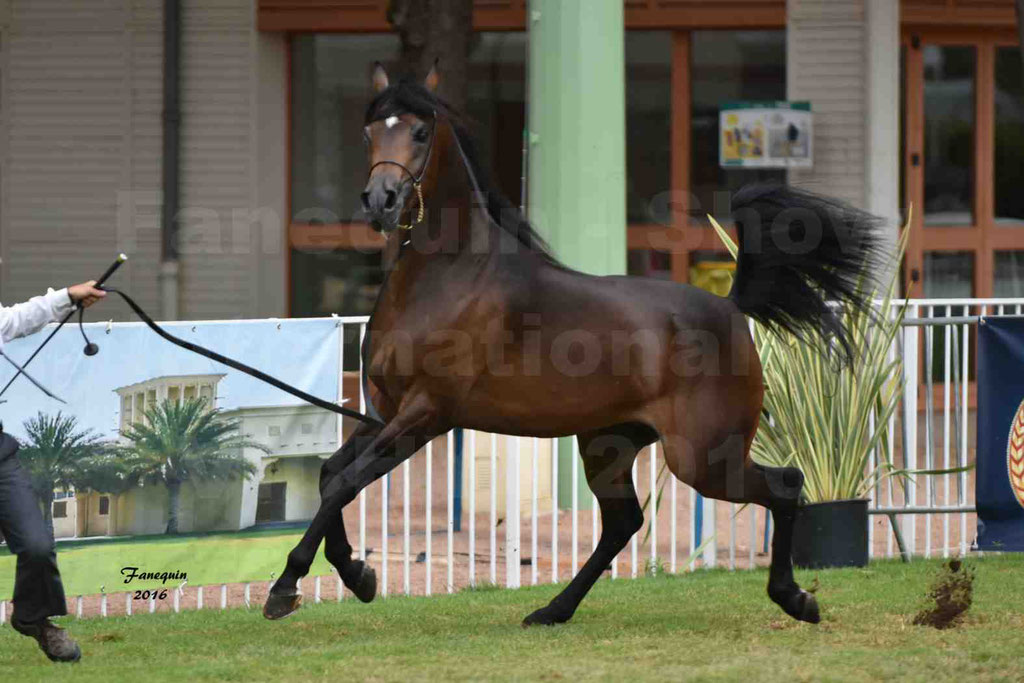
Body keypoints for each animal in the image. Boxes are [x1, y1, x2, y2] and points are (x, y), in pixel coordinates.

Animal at [268, 63, 884, 626]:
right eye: (371, 131)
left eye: (420, 131)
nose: (382, 200)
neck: (448, 275)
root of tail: (730, 307)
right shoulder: (382, 412)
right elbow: (330, 477)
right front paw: (357, 574)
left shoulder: (426, 414)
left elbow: (344, 483)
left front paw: (288, 587)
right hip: (610, 444)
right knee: (624, 523)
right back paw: (552, 609)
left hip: (701, 456)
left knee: (785, 484)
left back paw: (797, 598)